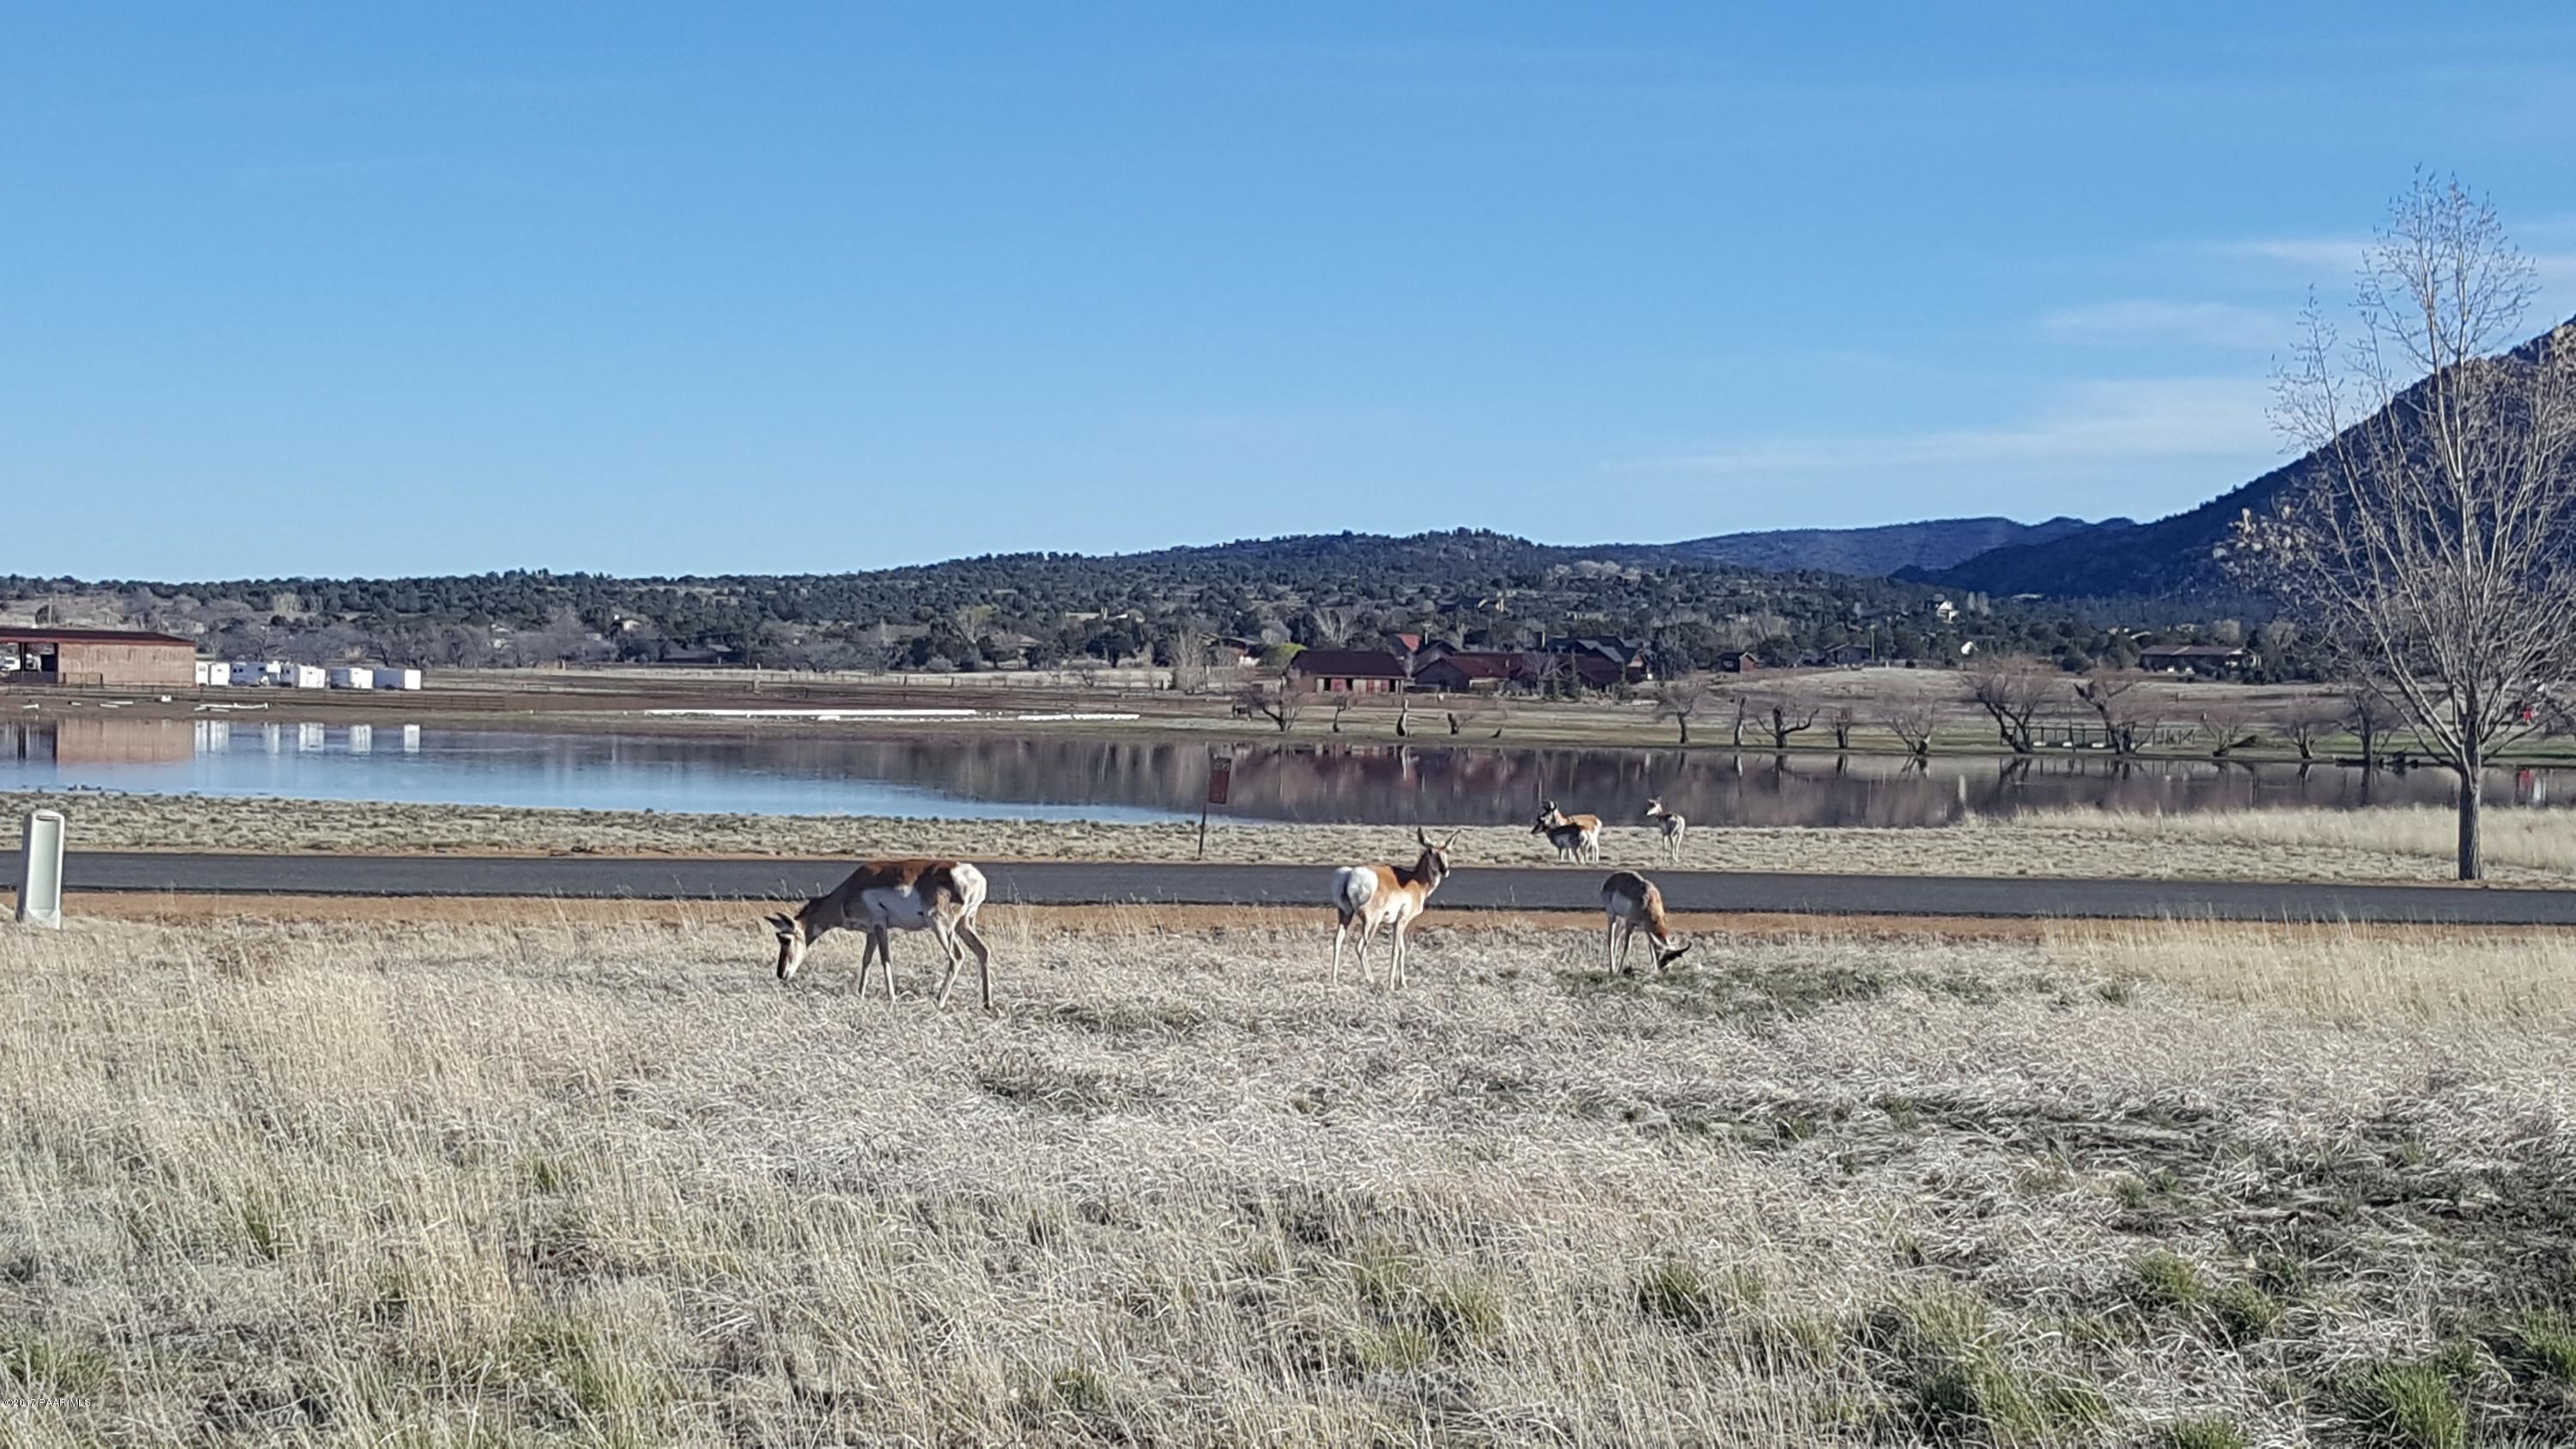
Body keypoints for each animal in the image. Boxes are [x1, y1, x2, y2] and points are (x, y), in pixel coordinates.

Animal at [765, 859, 995, 1011]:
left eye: (786, 940)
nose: (781, 974)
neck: (851, 889)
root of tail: (972, 876)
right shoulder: (871, 933)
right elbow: (866, 960)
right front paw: (860, 994)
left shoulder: (880, 926)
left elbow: (886, 960)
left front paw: (891, 998)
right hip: (964, 926)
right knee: (983, 951)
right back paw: (987, 1002)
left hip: (941, 926)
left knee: (956, 956)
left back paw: (939, 1001)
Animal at [1329, 827, 1458, 989]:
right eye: (1430, 851)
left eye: (1447, 851)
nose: (1444, 870)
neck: (1416, 882)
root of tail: (1350, 874)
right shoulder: (1402, 920)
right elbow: (1396, 950)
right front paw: (1391, 984)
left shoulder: (1396, 923)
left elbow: (1403, 950)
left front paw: (1403, 983)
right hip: (1372, 922)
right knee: (1360, 947)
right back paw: (1371, 979)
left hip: (1345, 915)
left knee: (1338, 940)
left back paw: (1334, 980)